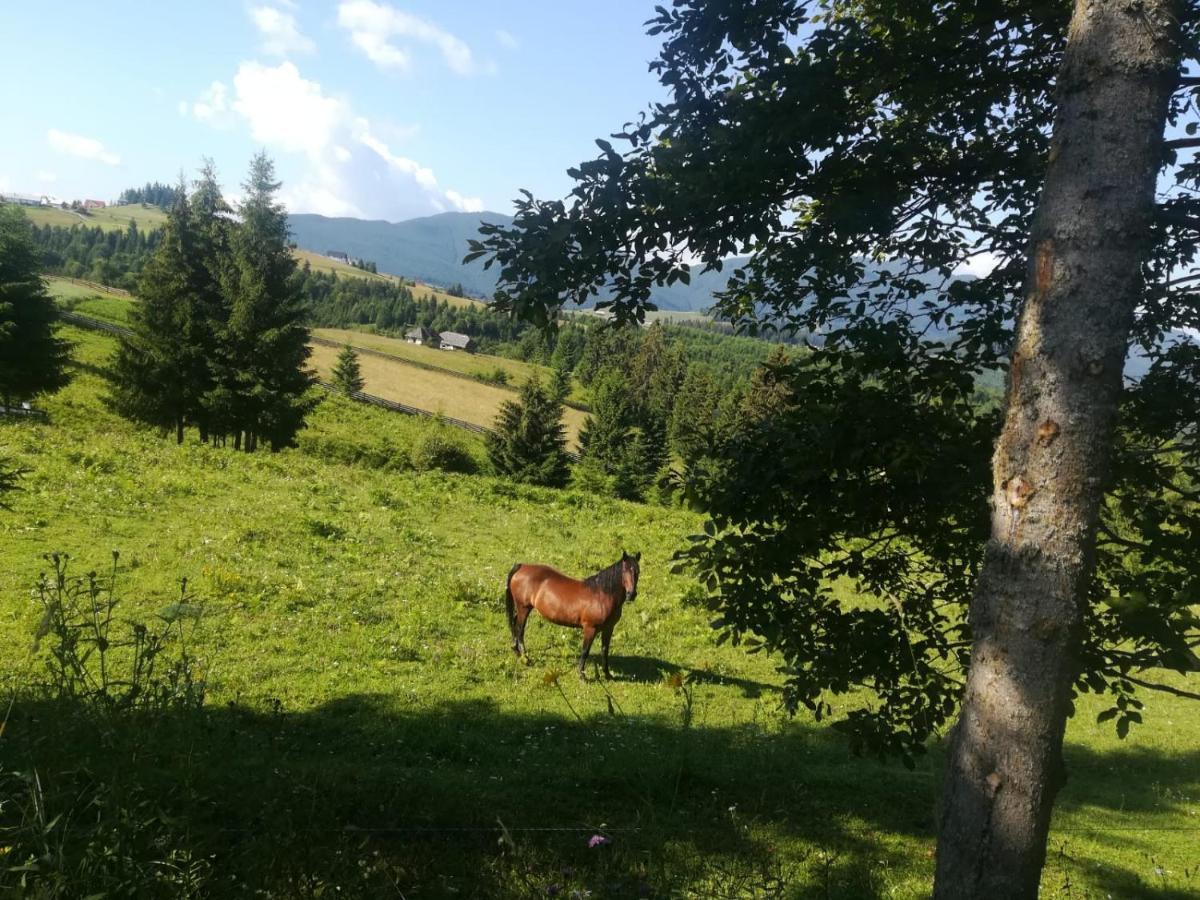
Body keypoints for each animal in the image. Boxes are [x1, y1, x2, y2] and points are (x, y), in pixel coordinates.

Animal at [504, 554, 643, 681]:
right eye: (624, 571)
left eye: (637, 571)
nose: (632, 594)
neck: (602, 596)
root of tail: (523, 566)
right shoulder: (590, 628)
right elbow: (585, 651)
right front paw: (582, 676)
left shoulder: (608, 629)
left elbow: (605, 650)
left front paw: (608, 675)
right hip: (523, 608)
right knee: (520, 630)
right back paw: (526, 659)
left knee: (515, 625)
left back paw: (516, 651)